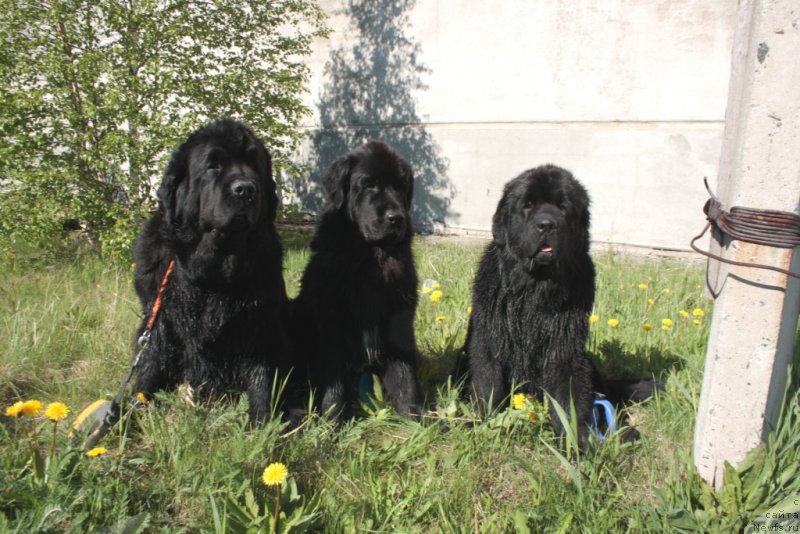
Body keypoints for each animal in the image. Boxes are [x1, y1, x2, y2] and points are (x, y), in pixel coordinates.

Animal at [131, 119, 290, 426]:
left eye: (254, 164)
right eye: (212, 166)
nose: (246, 189)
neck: (212, 276)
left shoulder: (260, 325)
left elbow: (261, 379)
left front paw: (262, 426)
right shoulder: (159, 320)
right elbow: (147, 369)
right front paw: (121, 417)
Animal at [290, 141, 422, 422]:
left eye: (400, 186)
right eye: (368, 184)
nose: (396, 217)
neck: (371, 258)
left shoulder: (399, 319)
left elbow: (405, 376)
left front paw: (419, 418)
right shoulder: (334, 322)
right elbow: (335, 379)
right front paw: (331, 422)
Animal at [460, 165, 596, 442]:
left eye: (563, 207)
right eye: (527, 205)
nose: (546, 224)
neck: (534, 289)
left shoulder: (566, 349)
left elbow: (568, 400)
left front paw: (574, 442)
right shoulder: (489, 339)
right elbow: (488, 384)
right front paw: (483, 424)